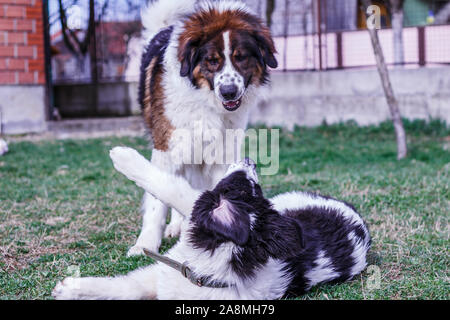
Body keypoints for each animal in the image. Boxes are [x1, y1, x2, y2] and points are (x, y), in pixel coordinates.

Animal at [51, 148, 370, 300]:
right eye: (254, 188)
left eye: (244, 184)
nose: (250, 159)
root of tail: (356, 219)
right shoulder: (158, 278)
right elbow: (125, 288)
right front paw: (71, 289)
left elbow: (169, 186)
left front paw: (125, 157)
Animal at [128, 0, 278, 255]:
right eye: (212, 60)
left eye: (241, 58)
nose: (229, 92)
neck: (204, 100)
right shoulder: (167, 149)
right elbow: (157, 199)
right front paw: (145, 244)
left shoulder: (223, 154)